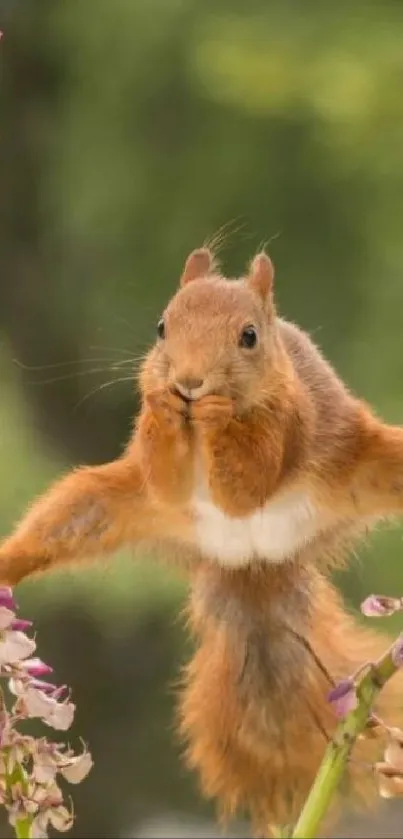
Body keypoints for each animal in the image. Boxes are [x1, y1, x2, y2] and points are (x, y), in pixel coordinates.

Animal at [0, 246, 403, 836]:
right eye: (161, 326)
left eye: (249, 336)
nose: (190, 382)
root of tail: (255, 562)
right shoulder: (159, 484)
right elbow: (163, 471)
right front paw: (166, 406)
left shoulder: (293, 422)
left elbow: (249, 482)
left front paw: (217, 417)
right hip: (95, 505)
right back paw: (5, 564)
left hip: (370, 462)